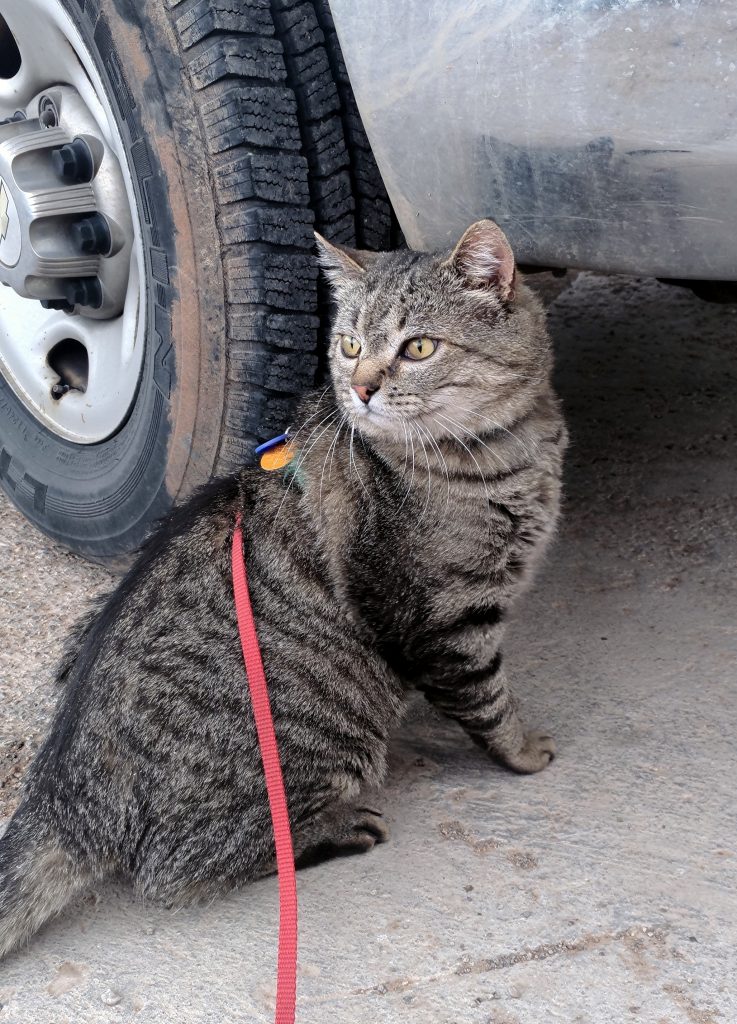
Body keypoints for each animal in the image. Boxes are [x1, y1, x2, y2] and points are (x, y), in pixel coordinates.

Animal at [0, 220, 569, 954]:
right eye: (350, 346)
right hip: (322, 742)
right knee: (175, 869)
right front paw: (524, 751)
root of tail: (60, 782)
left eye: (417, 347)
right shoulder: (444, 623)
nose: (361, 388)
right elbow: (490, 702)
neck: (507, 451)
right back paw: (334, 829)